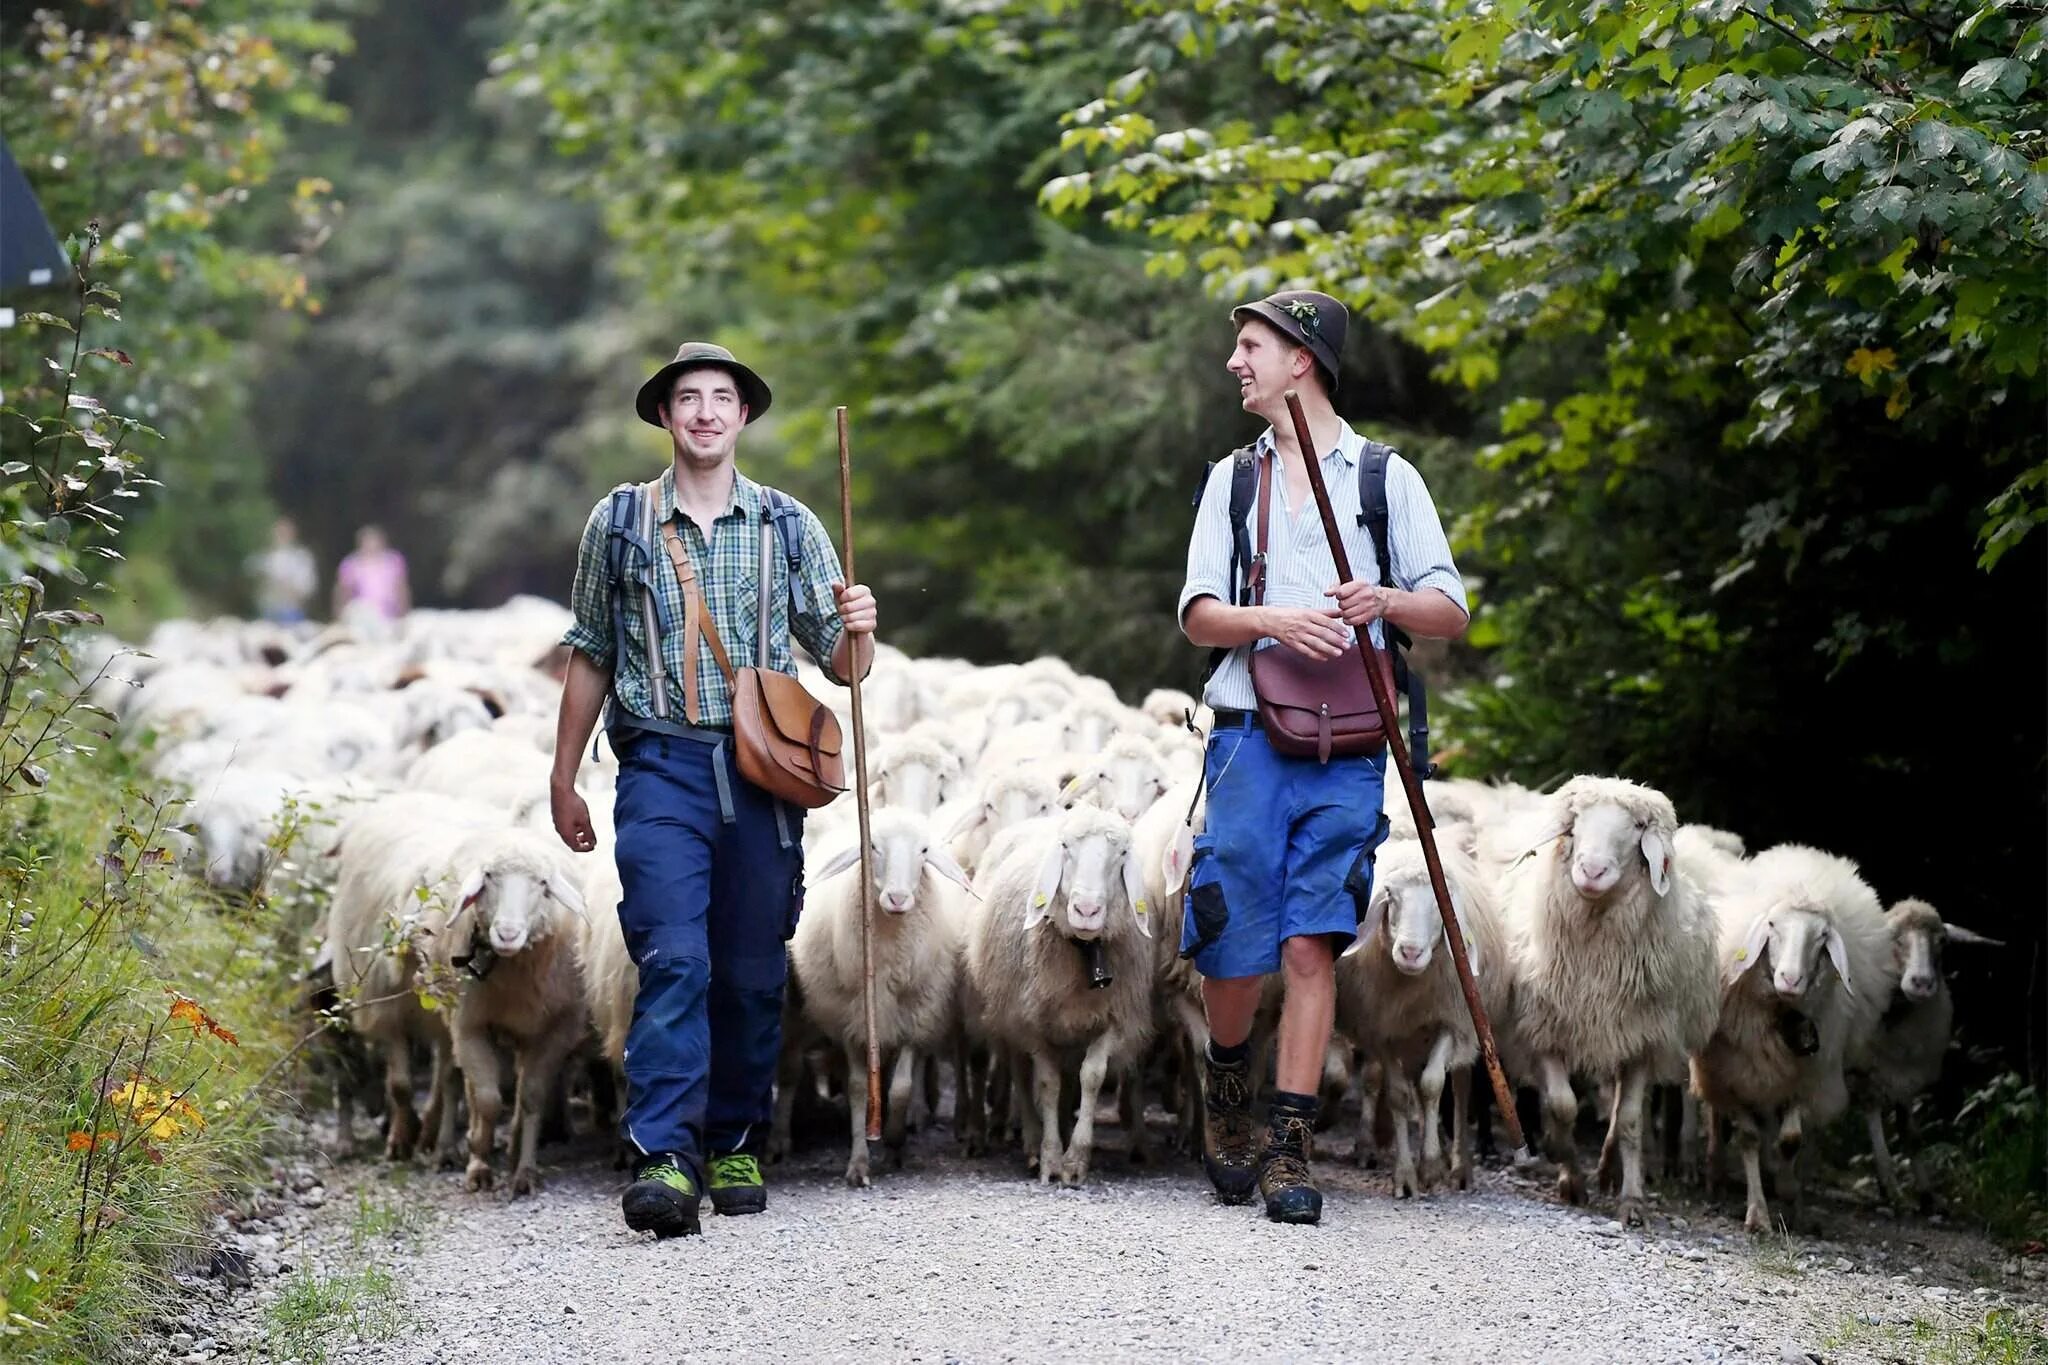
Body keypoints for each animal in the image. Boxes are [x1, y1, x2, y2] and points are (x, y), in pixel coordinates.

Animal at [958, 810, 1155, 1186]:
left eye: (1122, 853)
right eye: (1065, 846)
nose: (1087, 910)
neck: (1085, 951)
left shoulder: (1114, 1020)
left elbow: (1090, 1077)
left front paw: (1075, 1159)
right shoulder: (1033, 1025)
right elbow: (1047, 1084)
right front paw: (1050, 1158)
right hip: (1011, 1018)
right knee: (1021, 1075)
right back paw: (1032, 1142)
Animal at [1507, 777, 1728, 1227]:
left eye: (1638, 826)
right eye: (1575, 820)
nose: (1592, 871)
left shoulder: (1642, 1040)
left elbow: (1628, 1122)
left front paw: (1632, 1201)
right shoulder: (1544, 1030)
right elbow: (1562, 1106)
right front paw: (1567, 1171)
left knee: (1623, 1110)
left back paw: (1610, 1169)